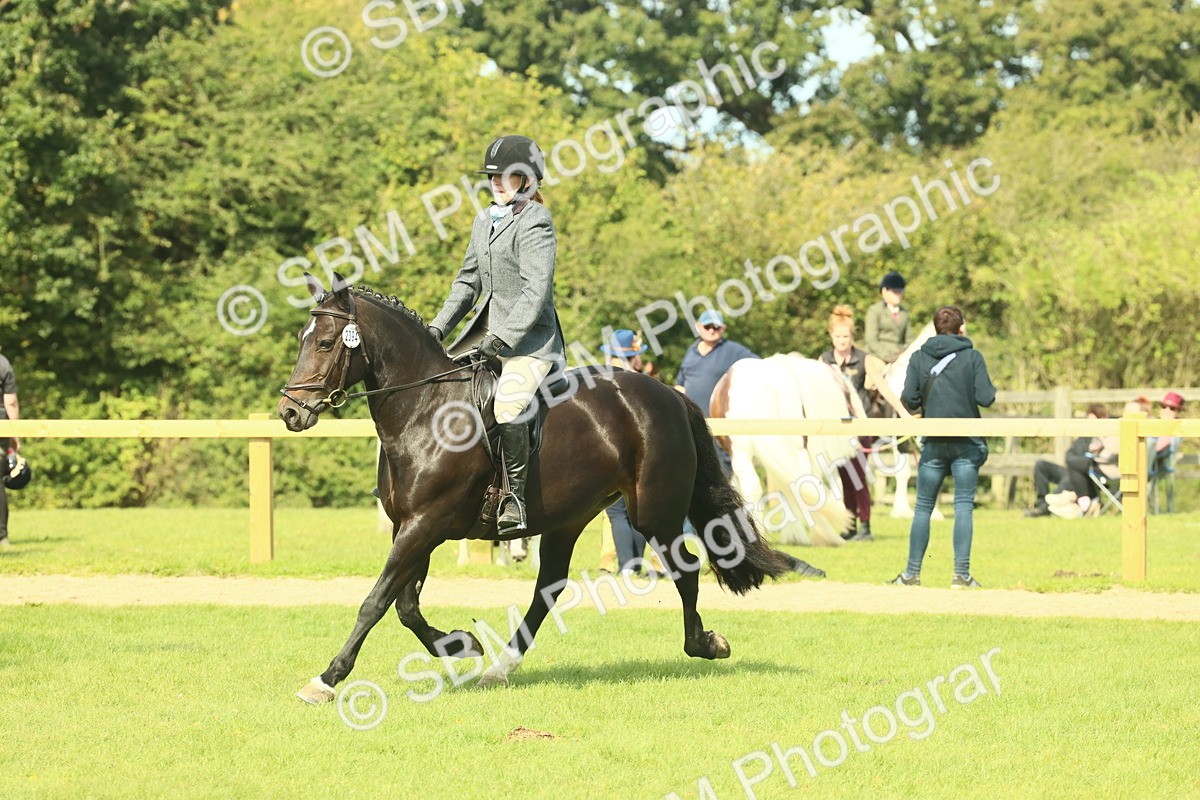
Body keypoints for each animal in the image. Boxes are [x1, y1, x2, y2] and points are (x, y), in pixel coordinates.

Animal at [278, 274, 809, 703]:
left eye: (325, 343)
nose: (289, 412)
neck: (425, 411)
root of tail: (669, 397)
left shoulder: (425, 524)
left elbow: (376, 602)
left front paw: (325, 679)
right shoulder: (410, 527)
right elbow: (405, 606)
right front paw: (461, 644)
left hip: (653, 513)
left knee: (687, 570)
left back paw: (705, 644)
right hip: (566, 520)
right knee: (547, 590)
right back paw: (499, 668)